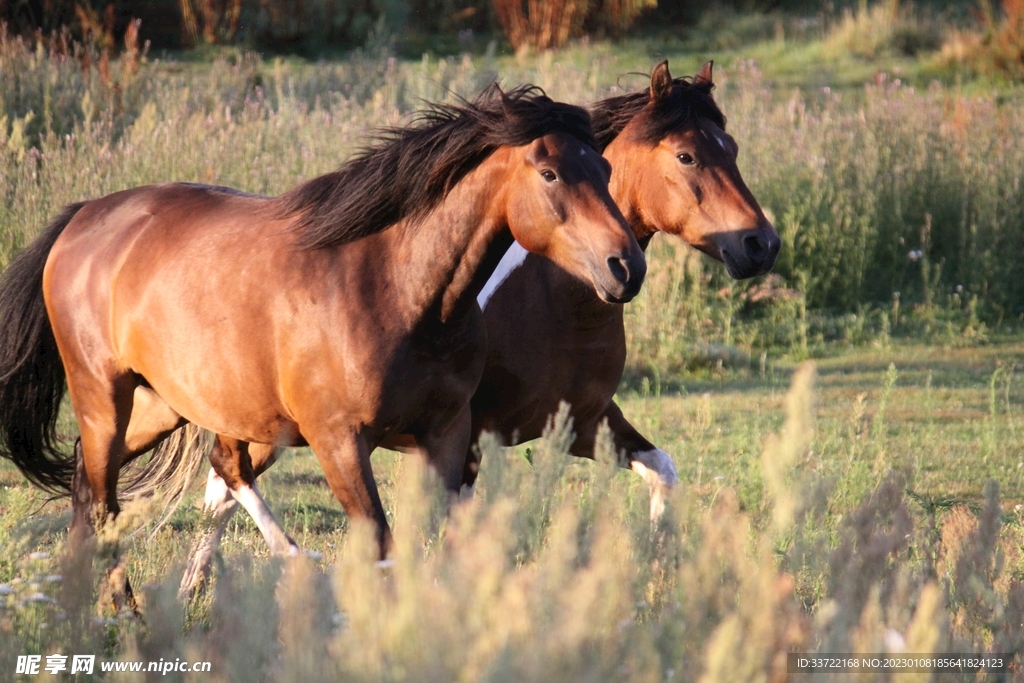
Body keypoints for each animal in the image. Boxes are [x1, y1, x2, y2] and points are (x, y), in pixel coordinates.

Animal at [0, 84, 646, 591]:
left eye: (608, 171)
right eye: (550, 173)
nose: (626, 267)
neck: (396, 288)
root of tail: (86, 216)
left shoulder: (446, 433)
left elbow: (436, 543)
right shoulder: (340, 441)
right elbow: (381, 546)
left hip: (166, 405)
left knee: (101, 489)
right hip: (105, 398)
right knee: (107, 501)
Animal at [176, 60, 778, 593]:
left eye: (733, 150)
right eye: (687, 155)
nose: (760, 244)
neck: (555, 297)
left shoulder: (584, 422)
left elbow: (663, 471)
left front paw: (656, 578)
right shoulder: (467, 438)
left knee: (224, 481)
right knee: (225, 474)